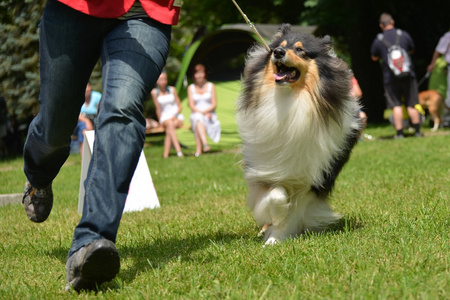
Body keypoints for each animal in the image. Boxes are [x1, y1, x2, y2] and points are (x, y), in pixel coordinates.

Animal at [236, 24, 362, 245]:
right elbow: (276, 195)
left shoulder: (311, 180)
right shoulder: (265, 168)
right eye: (278, 47)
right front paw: (274, 220)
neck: (290, 99)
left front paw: (275, 238)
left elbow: (293, 211)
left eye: (300, 50)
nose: (278, 53)